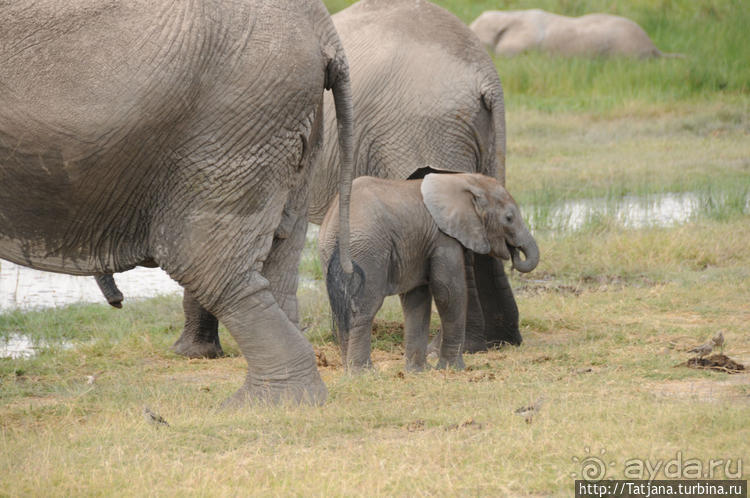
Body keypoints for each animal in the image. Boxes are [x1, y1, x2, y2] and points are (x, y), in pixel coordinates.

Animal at [0, 0, 356, 404]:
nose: (118, 301)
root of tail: (323, 30)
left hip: (234, 124)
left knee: (209, 265)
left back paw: (260, 404)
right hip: (292, 126)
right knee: (280, 251)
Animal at [318, 173, 540, 372]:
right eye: (509, 218)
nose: (514, 254)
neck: (466, 180)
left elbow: (417, 299)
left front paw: (418, 372)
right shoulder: (443, 238)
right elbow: (448, 292)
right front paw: (452, 369)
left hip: (332, 249)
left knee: (343, 308)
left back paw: (348, 372)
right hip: (367, 250)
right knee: (365, 307)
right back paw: (363, 374)